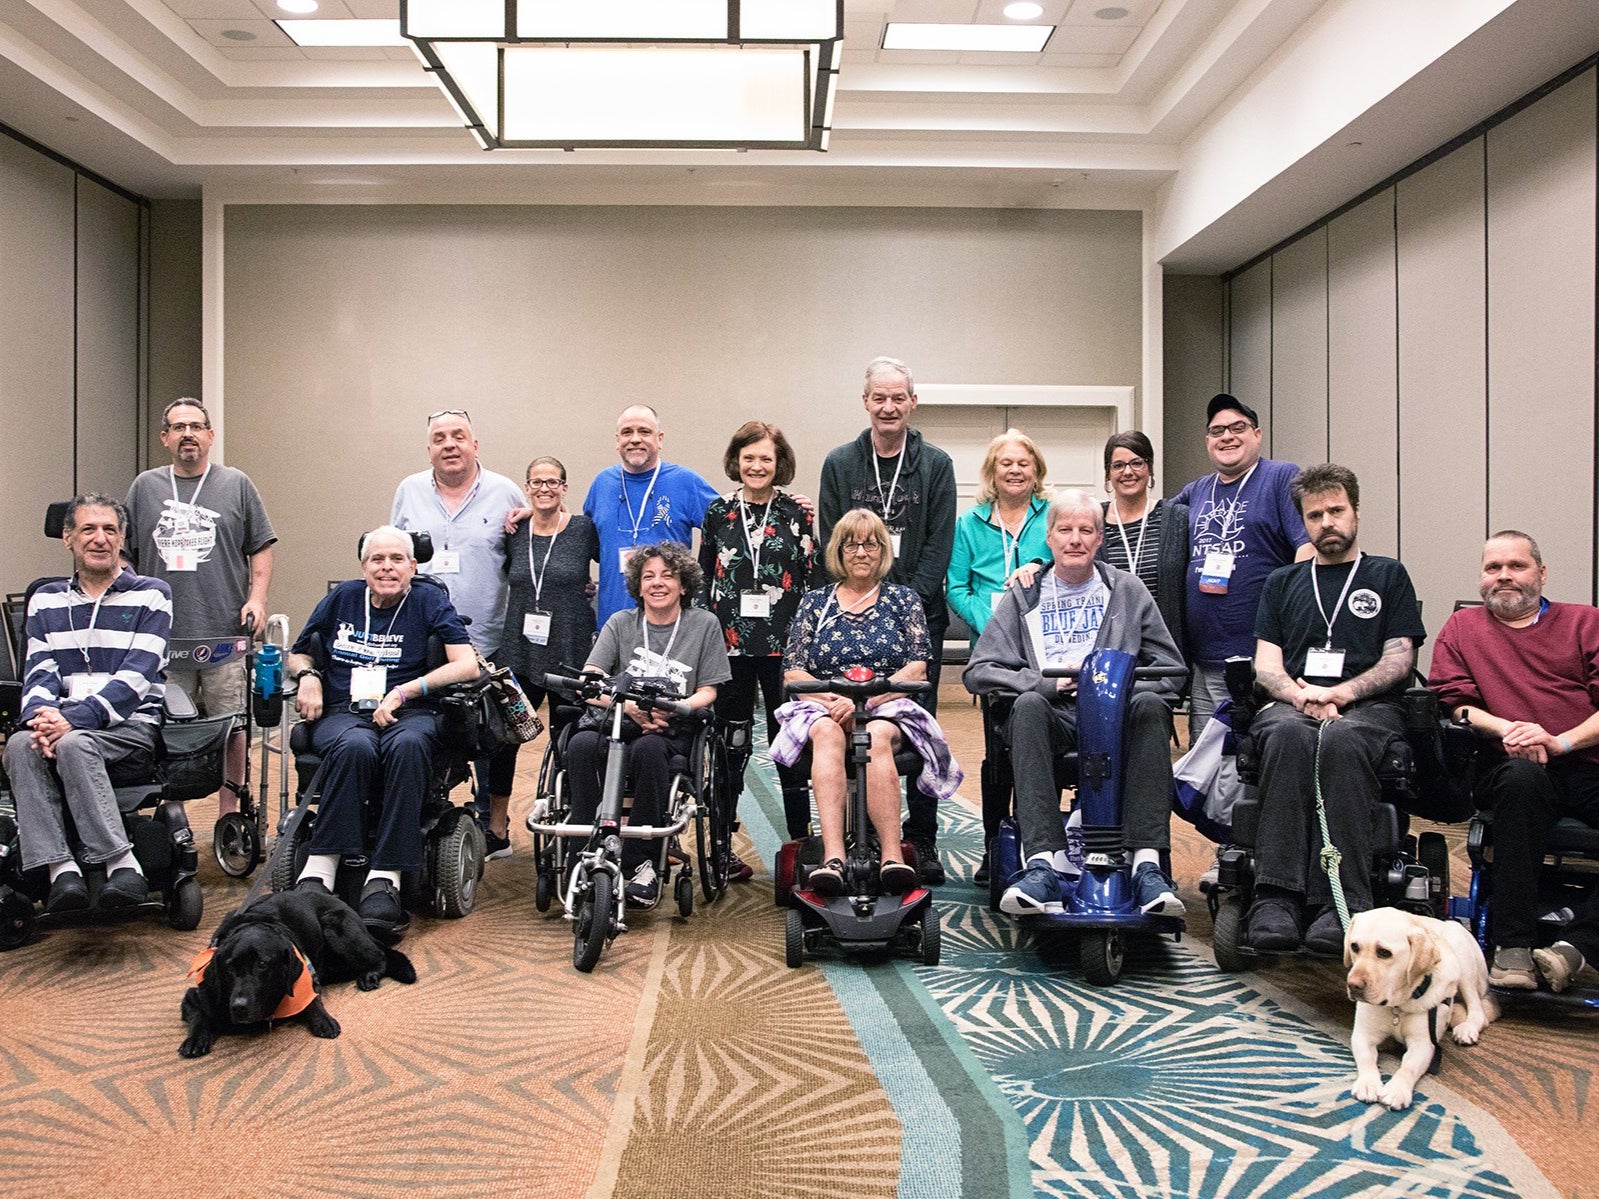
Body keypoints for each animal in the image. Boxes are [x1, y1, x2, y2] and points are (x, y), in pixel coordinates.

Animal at [178, 888, 415, 1055]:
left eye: (262, 964)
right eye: (229, 967)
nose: (239, 1006)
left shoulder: (306, 977)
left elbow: (312, 1001)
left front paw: (323, 1020)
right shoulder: (196, 995)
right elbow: (200, 1014)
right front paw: (195, 1039)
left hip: (336, 927)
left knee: (380, 956)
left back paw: (369, 975)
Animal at [1343, 908, 1490, 1119]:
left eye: (1384, 953)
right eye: (1354, 946)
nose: (1353, 985)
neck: (1398, 1006)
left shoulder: (1424, 1044)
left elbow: (1409, 1067)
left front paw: (1397, 1090)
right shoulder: (1363, 1035)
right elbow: (1365, 1058)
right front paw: (1368, 1083)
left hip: (1464, 961)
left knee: (1478, 1009)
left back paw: (1467, 1028)